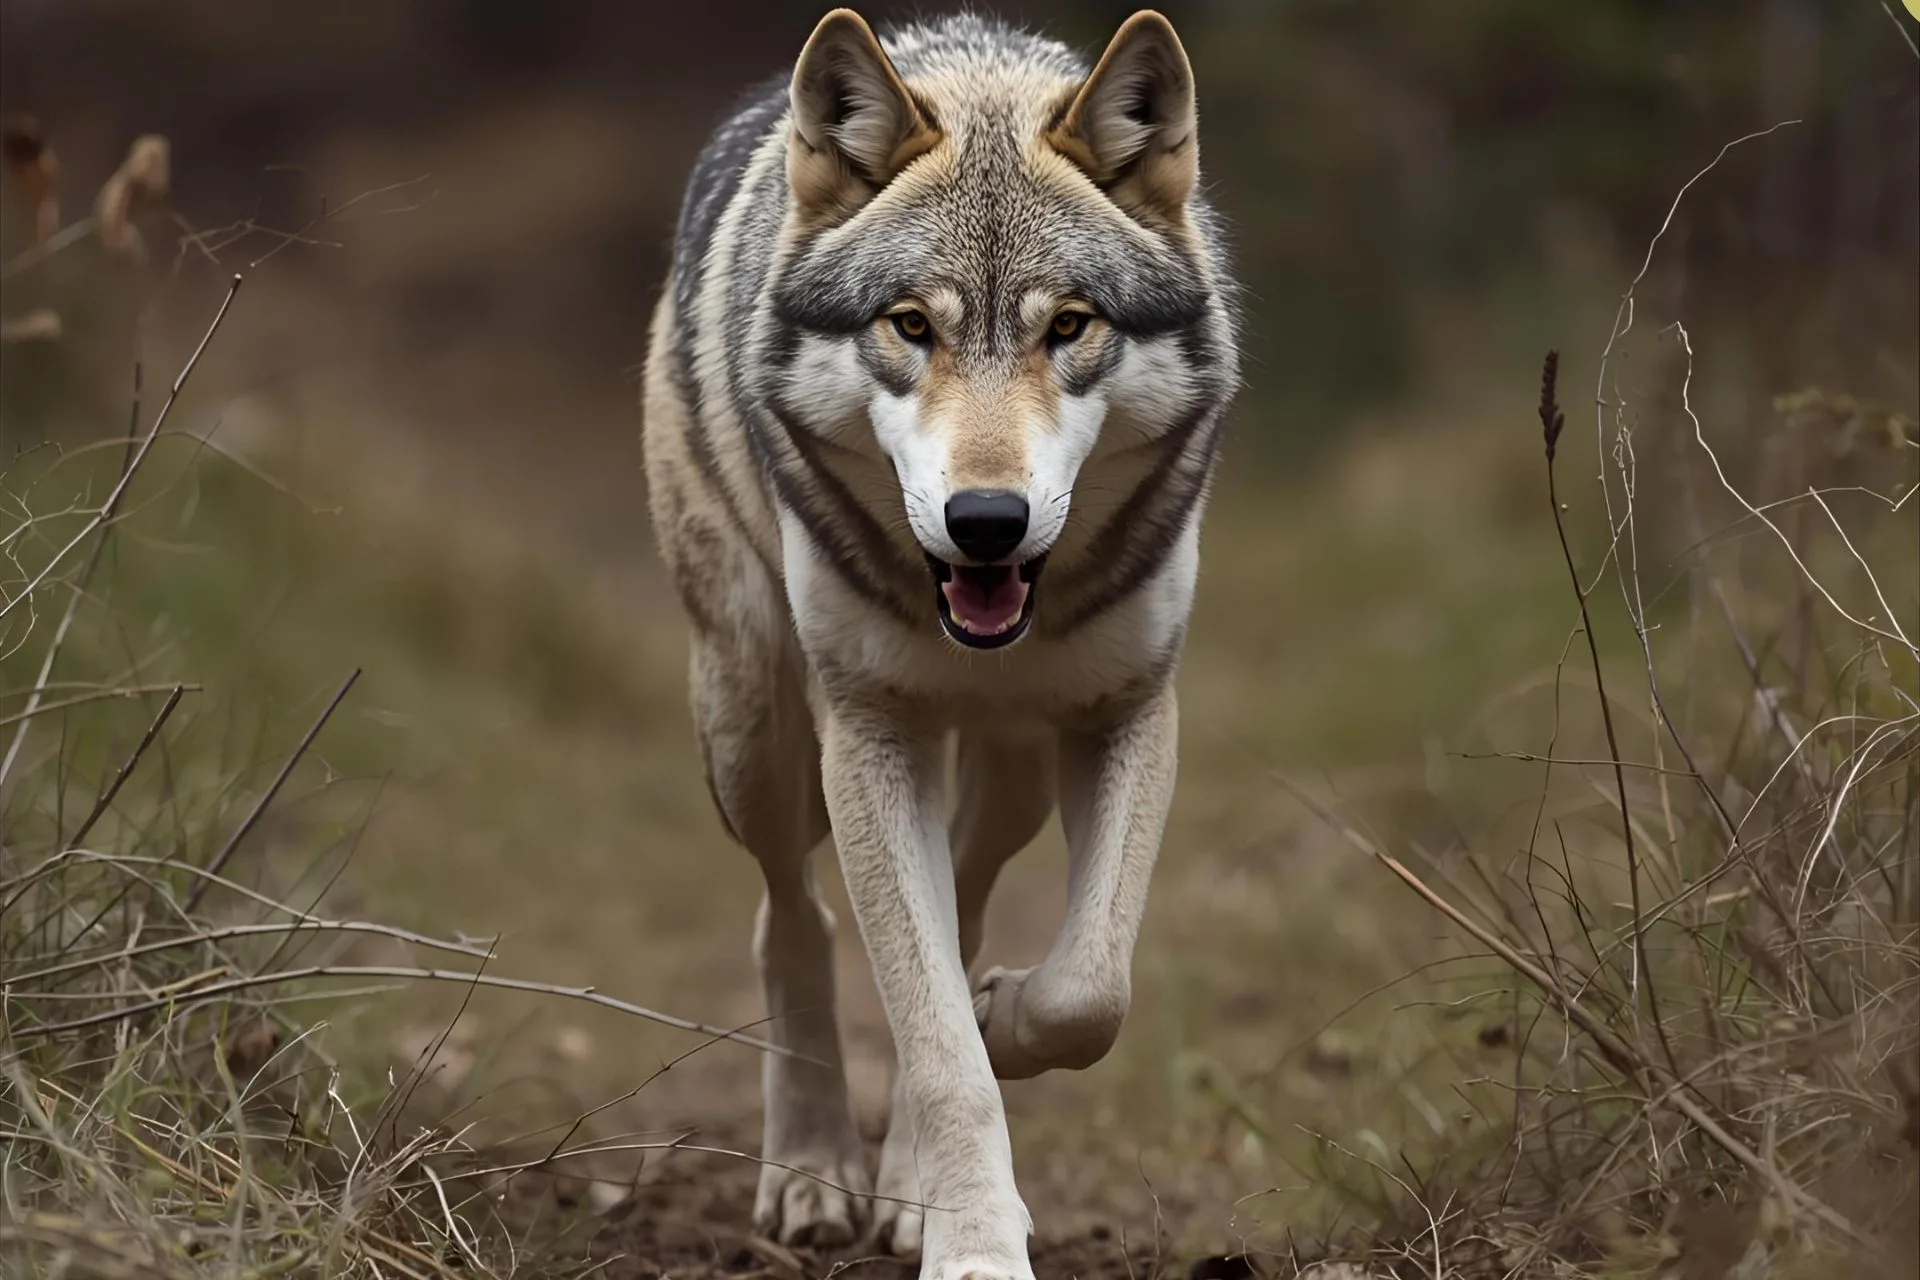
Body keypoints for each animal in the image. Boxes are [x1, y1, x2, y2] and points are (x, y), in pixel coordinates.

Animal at [639, 7, 1239, 1276]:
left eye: (1070, 327)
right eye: (911, 326)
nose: (987, 520)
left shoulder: (1130, 710)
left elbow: (1086, 989)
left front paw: (1001, 1033)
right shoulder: (869, 733)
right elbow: (937, 1038)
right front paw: (970, 1243)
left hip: (1008, 770)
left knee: (958, 902)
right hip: (756, 732)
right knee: (791, 916)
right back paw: (815, 1168)